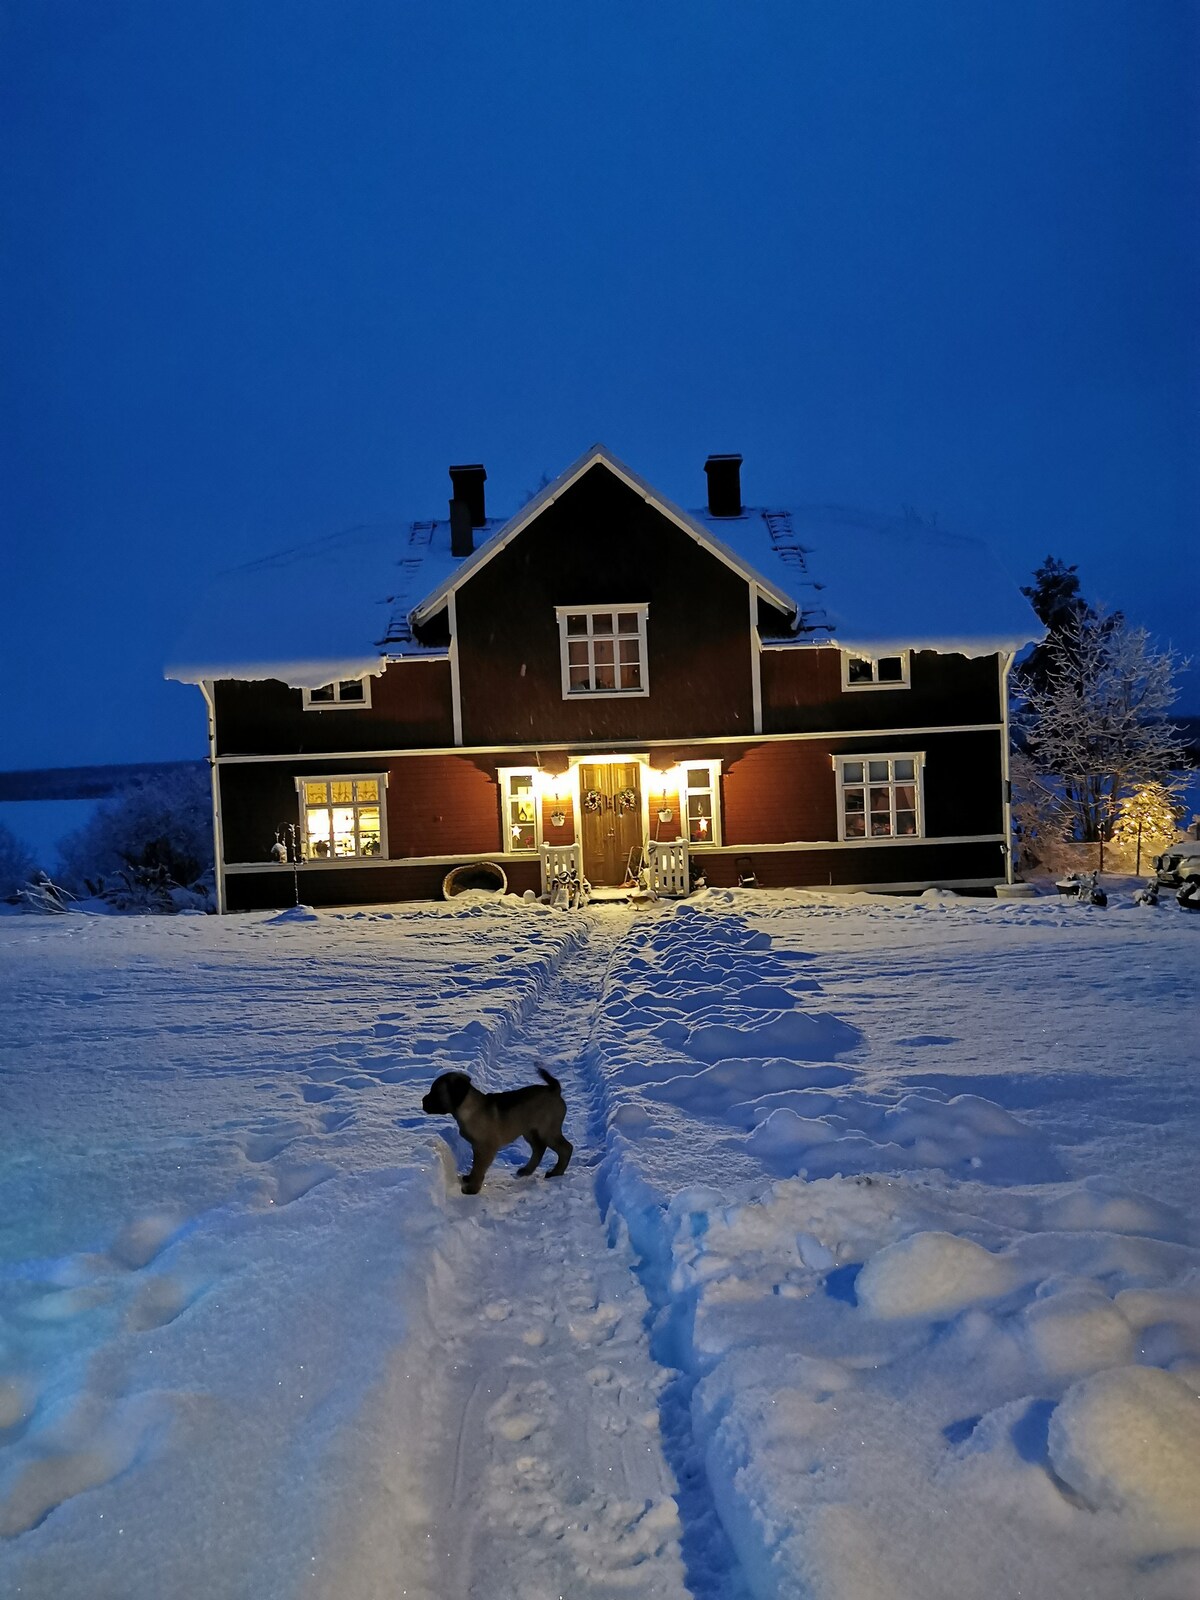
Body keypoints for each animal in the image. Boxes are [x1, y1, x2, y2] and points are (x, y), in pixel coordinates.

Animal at [419, 1068, 576, 1196]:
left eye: (435, 1093)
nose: (422, 1101)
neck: (468, 1108)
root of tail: (554, 1090)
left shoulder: (485, 1148)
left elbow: (479, 1168)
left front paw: (472, 1188)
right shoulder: (477, 1147)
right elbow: (475, 1166)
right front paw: (469, 1178)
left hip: (547, 1131)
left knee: (566, 1148)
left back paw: (556, 1172)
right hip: (530, 1131)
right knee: (539, 1148)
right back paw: (526, 1170)